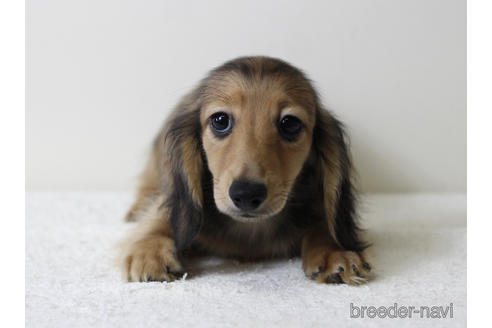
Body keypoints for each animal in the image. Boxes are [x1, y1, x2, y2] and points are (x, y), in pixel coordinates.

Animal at [121, 56, 370, 284]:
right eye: (220, 120)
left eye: (290, 123)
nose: (246, 194)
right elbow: (160, 220)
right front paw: (149, 251)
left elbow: (324, 223)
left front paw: (334, 250)